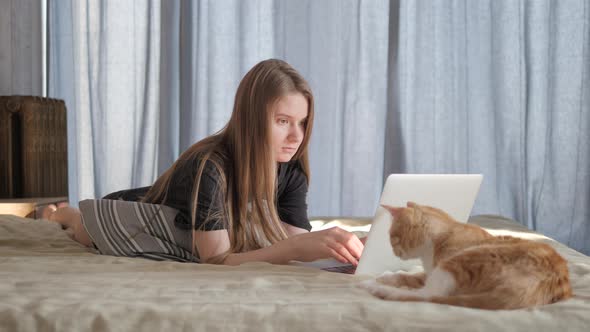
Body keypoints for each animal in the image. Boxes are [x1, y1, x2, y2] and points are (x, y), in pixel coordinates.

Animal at [360, 201, 572, 310]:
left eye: (392, 238)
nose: (394, 252)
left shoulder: (442, 266)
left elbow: (414, 280)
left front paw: (380, 281)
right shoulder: (430, 271)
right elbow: (407, 275)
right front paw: (387, 276)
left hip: (460, 262)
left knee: (427, 296)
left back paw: (378, 289)